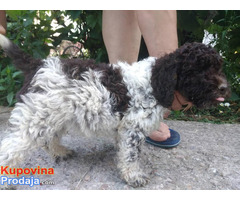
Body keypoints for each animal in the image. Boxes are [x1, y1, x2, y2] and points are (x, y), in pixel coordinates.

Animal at [0, 33, 231, 187]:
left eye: (218, 67)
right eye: (199, 71)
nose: (224, 88)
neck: (155, 82)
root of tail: (38, 65)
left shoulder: (125, 130)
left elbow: (123, 151)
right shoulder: (132, 129)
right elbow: (131, 155)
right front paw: (134, 176)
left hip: (54, 113)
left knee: (48, 138)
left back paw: (60, 151)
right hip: (35, 115)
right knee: (10, 149)